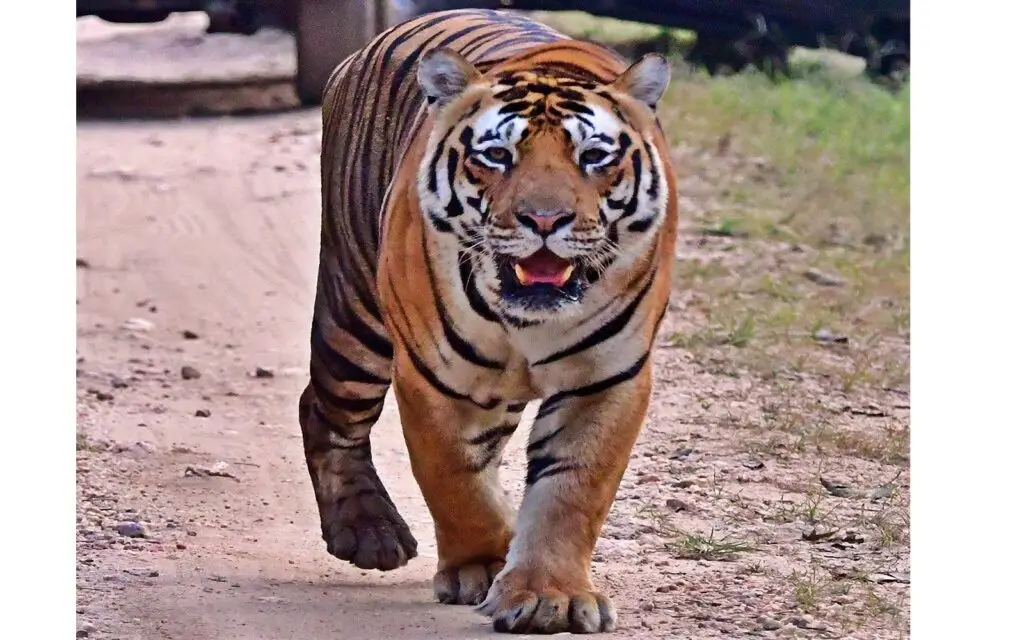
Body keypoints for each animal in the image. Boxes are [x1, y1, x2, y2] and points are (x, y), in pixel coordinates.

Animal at [297, 8, 678, 634]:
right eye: (498, 156)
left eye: (594, 158)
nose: (545, 220)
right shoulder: (435, 377)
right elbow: (454, 477)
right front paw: (479, 564)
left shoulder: (607, 378)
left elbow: (572, 490)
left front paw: (550, 595)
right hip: (354, 313)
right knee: (324, 409)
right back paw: (369, 533)